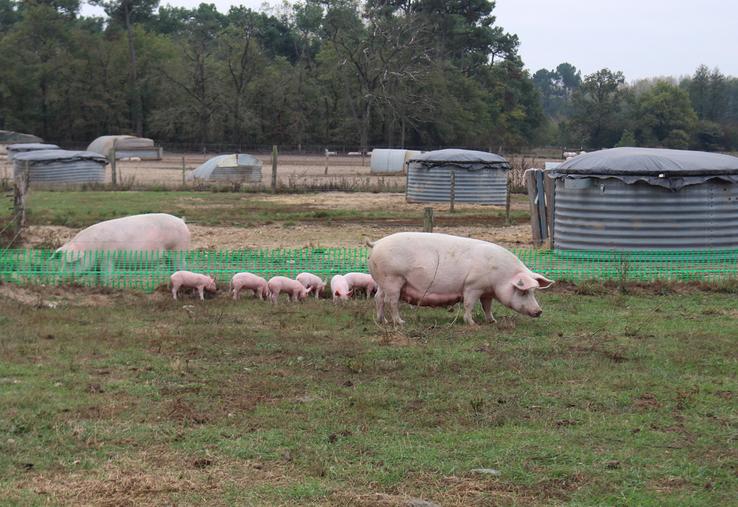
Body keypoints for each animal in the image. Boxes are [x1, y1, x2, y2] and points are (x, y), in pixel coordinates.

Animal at [366, 233, 548, 326]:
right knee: (391, 301)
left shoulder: (487, 291)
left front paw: (492, 321)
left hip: (382, 281)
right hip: (393, 278)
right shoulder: (473, 286)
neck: (501, 275)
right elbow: (469, 304)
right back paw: (400, 322)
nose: (539, 311)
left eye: (533, 291)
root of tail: (377, 243)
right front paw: (472, 323)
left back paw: (382, 321)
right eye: (524, 292)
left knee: (378, 298)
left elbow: (487, 306)